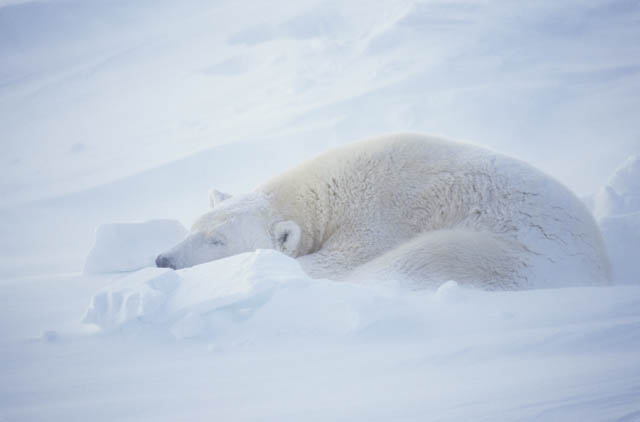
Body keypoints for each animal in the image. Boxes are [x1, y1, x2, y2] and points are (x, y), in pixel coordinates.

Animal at [156, 133, 610, 290]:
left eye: (218, 240)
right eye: (194, 226)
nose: (163, 260)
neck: (327, 192)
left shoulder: (380, 217)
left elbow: (335, 263)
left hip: (509, 257)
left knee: (422, 260)